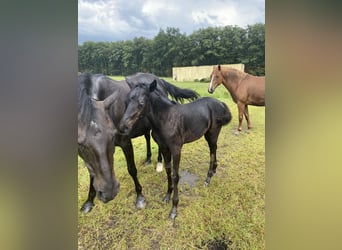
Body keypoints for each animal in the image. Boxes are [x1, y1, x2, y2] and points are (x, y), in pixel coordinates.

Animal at [78, 72, 199, 213]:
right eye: (80, 144)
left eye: (113, 136)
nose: (109, 192)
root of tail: (159, 80)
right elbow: (92, 174)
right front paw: (89, 201)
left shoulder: (125, 141)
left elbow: (132, 169)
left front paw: (140, 198)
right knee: (147, 136)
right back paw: (148, 159)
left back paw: (159, 163)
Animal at [118, 80, 232, 219]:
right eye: (126, 102)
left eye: (141, 103)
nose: (122, 127)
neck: (165, 119)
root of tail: (220, 103)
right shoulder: (164, 148)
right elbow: (168, 170)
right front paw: (167, 196)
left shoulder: (176, 149)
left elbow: (175, 175)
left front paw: (174, 209)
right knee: (214, 150)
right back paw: (214, 171)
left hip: (212, 133)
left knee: (212, 151)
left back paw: (208, 178)